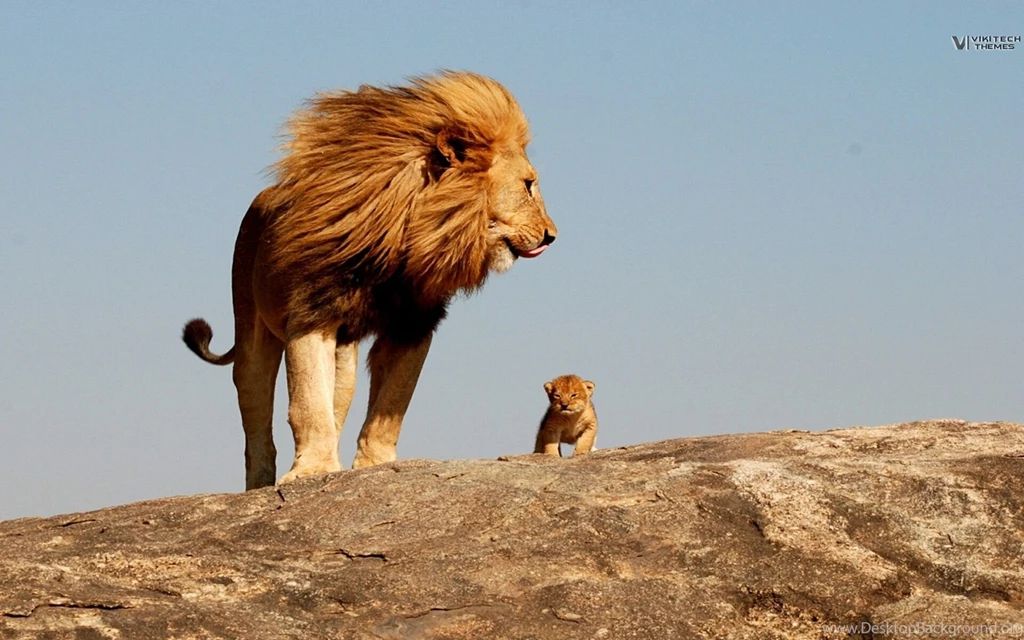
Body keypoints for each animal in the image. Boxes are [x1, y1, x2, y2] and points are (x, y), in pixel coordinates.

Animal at [182, 71, 556, 489]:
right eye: (528, 185)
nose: (551, 236)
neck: (404, 238)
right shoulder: (311, 315)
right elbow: (308, 403)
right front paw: (312, 471)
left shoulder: (413, 325)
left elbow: (391, 404)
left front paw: (373, 466)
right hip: (251, 331)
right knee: (256, 409)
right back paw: (261, 483)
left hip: (344, 357)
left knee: (338, 400)